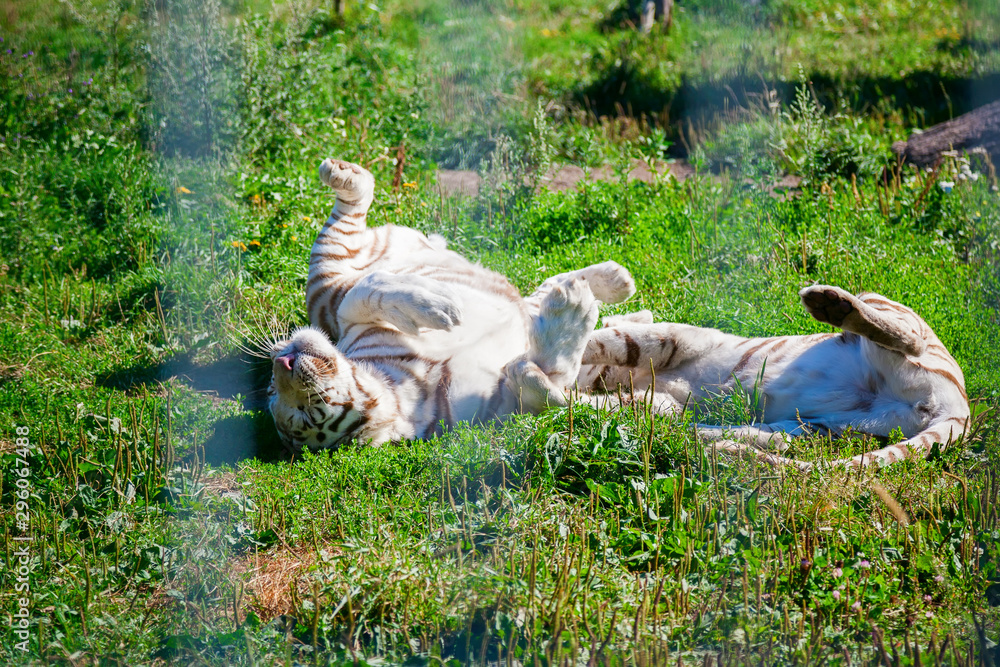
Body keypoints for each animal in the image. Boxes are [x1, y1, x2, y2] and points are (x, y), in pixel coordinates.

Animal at [267, 158, 638, 454]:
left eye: (271, 389)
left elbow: (367, 290)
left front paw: (436, 305)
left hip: (329, 279)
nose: (282, 361)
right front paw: (573, 316)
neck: (403, 379)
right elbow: (550, 384)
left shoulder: (350, 323)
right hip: (327, 276)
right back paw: (588, 290)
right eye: (306, 411)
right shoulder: (504, 403)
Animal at [577, 286, 970, 470]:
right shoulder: (662, 399)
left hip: (892, 311)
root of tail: (958, 408)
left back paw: (831, 304)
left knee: (911, 338)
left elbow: (609, 340)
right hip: (829, 427)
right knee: (781, 443)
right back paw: (710, 441)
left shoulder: (673, 340)